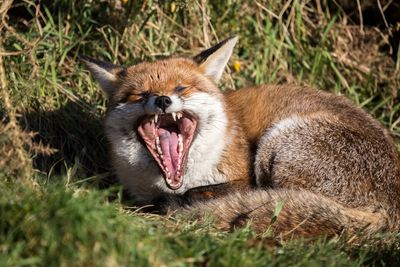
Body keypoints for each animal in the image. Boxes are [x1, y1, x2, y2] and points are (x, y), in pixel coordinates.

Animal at [81, 37, 400, 239]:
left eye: (182, 88)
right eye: (140, 95)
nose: (162, 100)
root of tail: (389, 212)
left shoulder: (243, 177)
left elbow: (204, 193)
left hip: (278, 142)